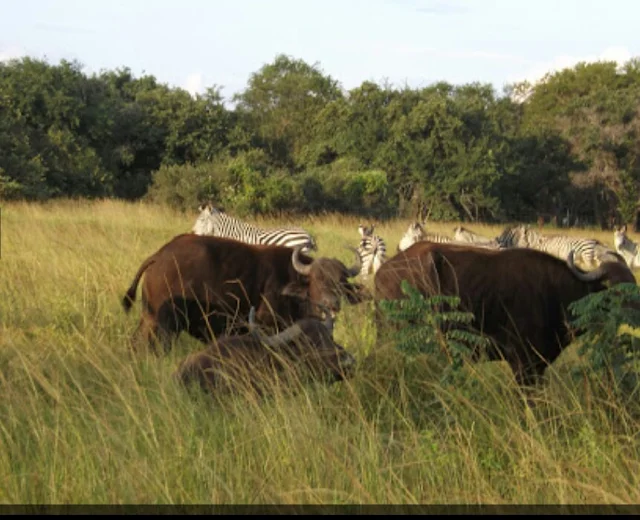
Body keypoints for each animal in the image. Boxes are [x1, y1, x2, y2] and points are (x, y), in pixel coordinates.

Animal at [122, 235, 368, 354]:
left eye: (342, 282)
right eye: (317, 279)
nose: (332, 304)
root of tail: (160, 255)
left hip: (148, 319)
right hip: (166, 325)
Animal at [372, 242, 636, 384]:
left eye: (633, 284)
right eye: (614, 288)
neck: (557, 293)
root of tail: (381, 273)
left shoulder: (538, 364)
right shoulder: (522, 363)